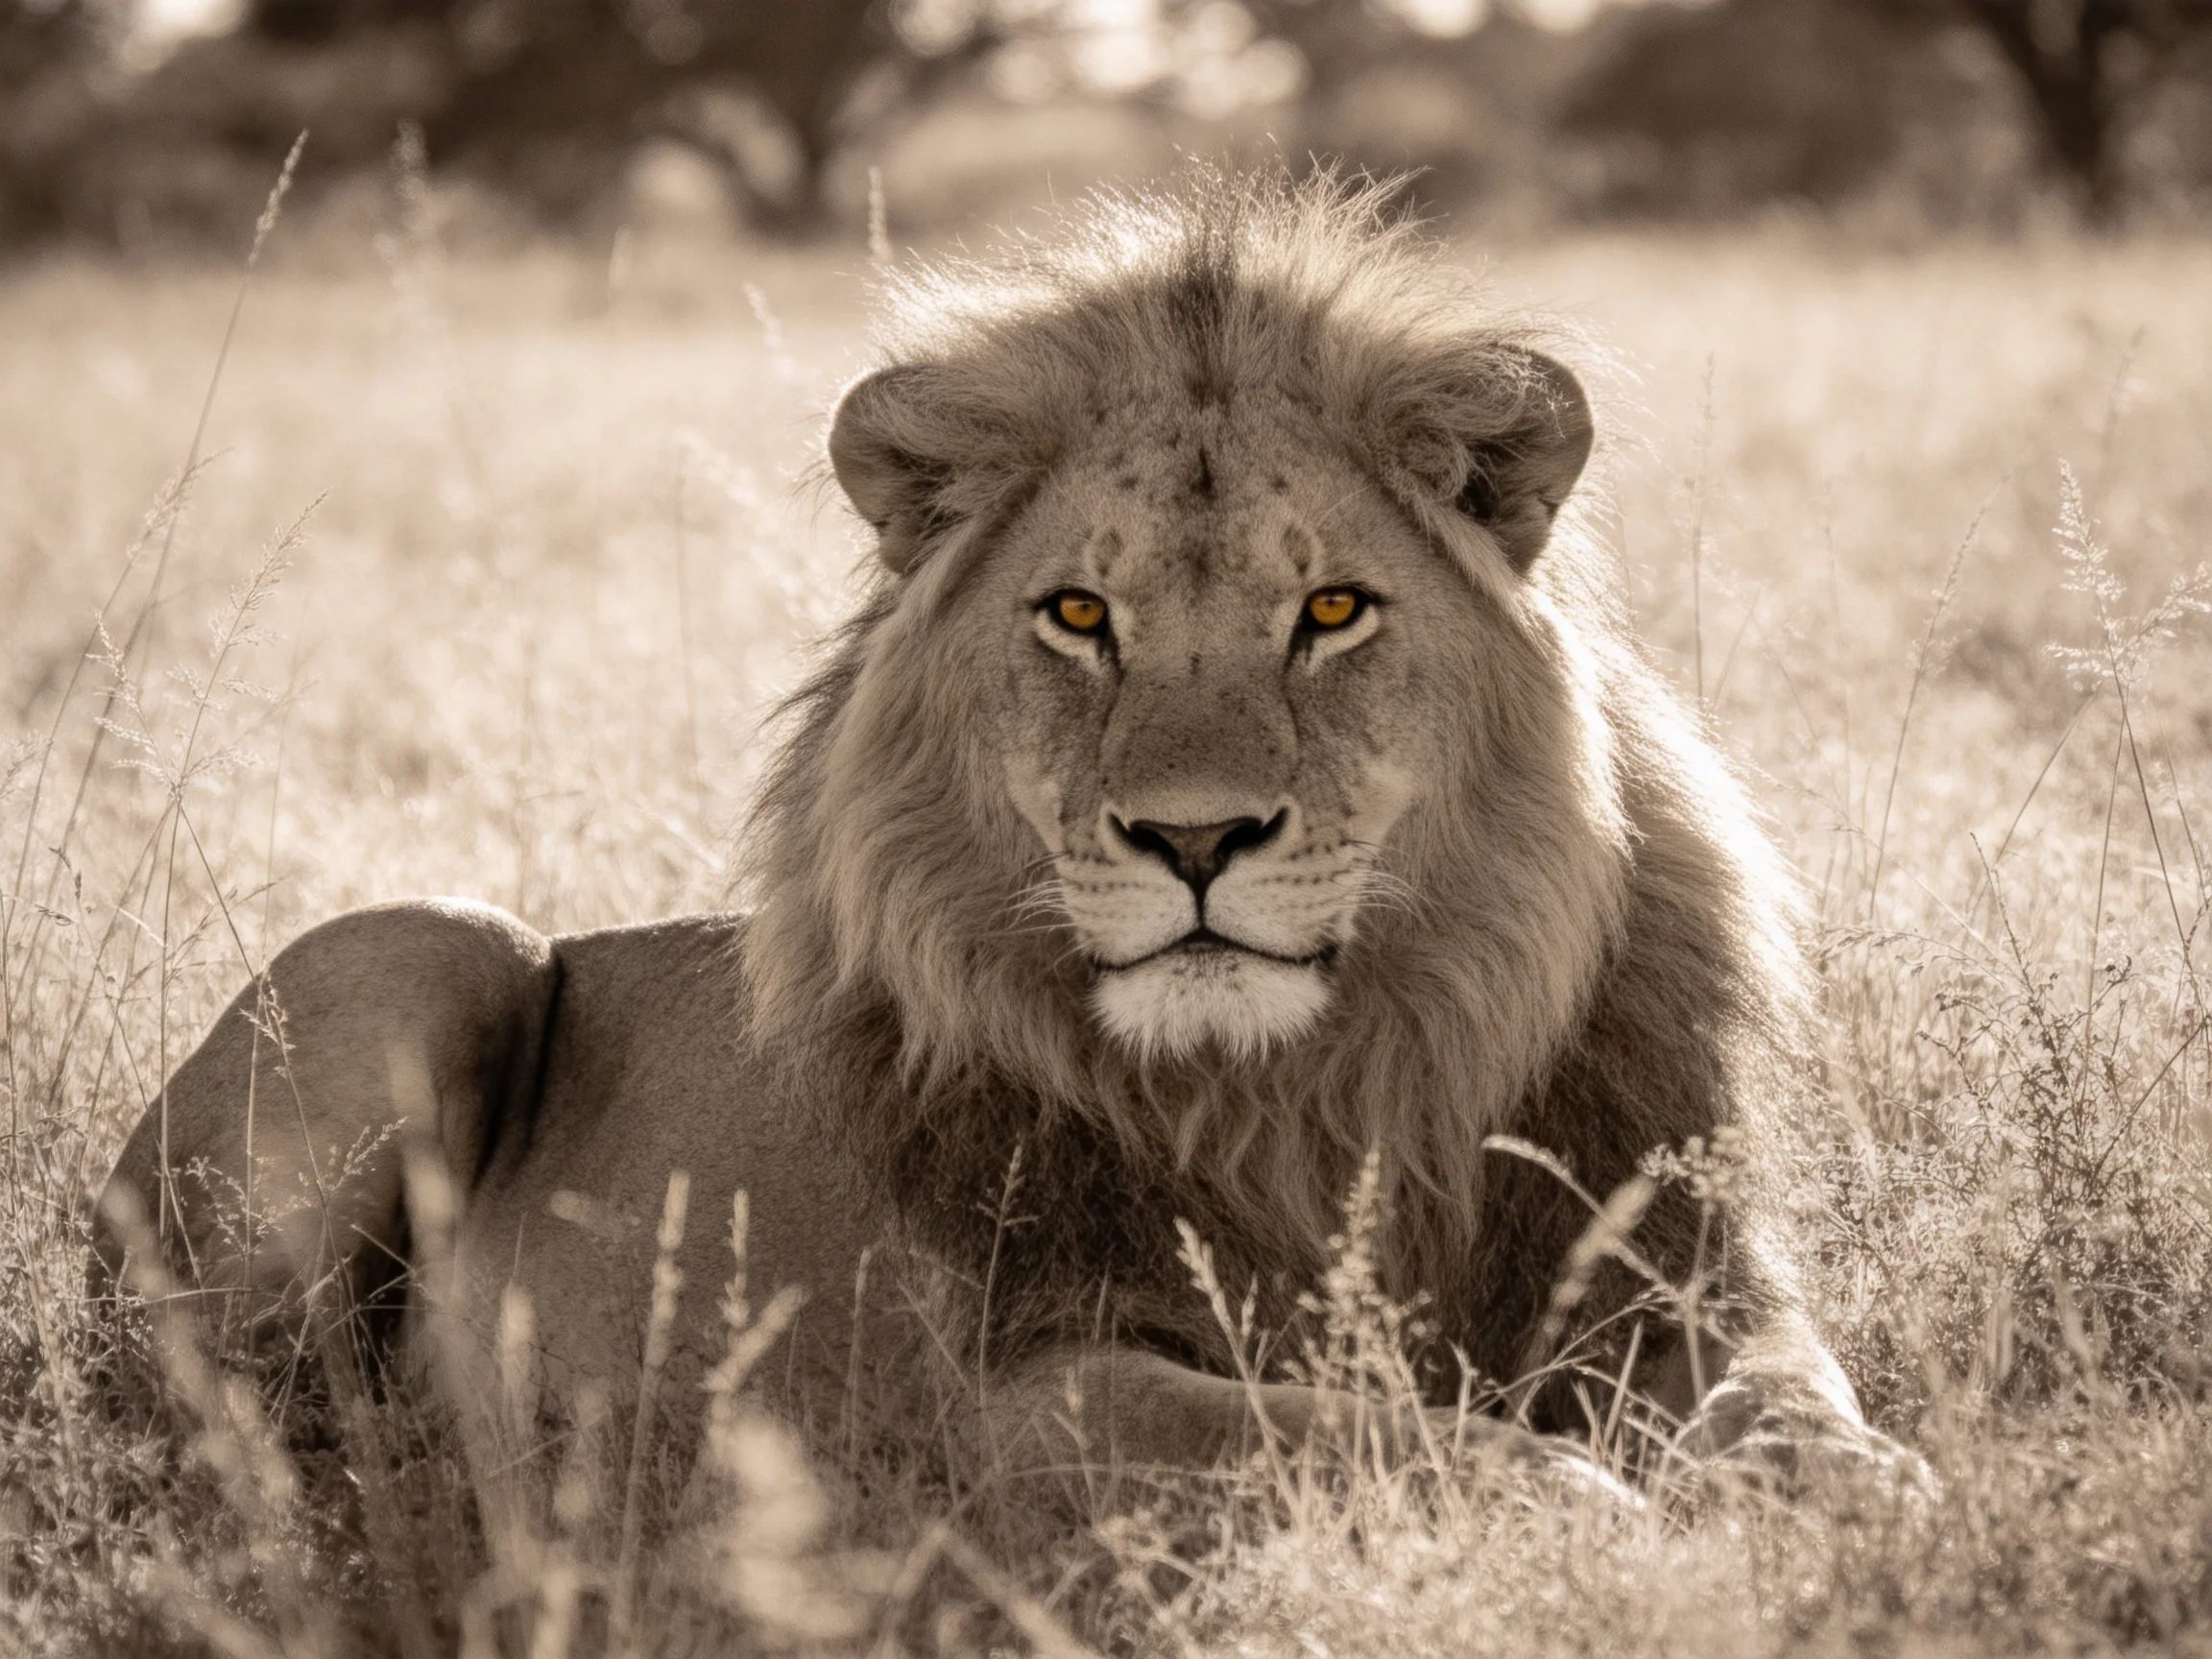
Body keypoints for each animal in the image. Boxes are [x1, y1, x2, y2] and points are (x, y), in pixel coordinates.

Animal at [96, 170, 1890, 1493]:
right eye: (1078, 615)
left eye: (1330, 610)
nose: (1194, 839)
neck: (1312, 1093)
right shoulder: (1025, 1398)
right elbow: (1374, 1440)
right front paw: (1589, 1507)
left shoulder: (1678, 1274)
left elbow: (1801, 1405)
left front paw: (1847, 1505)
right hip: (423, 953)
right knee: (210, 1412)